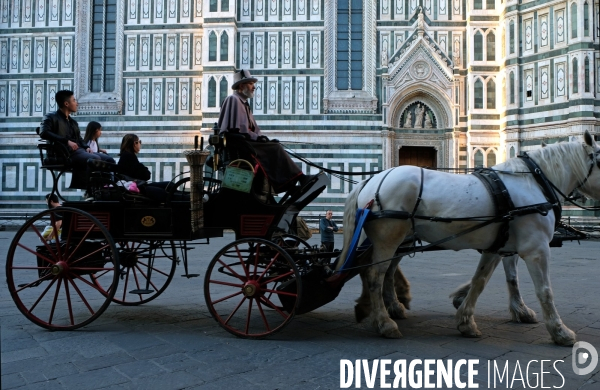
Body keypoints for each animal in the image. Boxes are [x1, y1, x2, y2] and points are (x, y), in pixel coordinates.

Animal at [340, 133, 600, 346]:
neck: (534, 183)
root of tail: (370, 181)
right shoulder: (536, 249)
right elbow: (545, 291)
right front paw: (560, 332)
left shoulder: (499, 246)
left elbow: (483, 280)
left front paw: (466, 318)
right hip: (389, 238)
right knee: (375, 274)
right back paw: (385, 323)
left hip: (397, 240)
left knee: (382, 271)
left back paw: (383, 308)